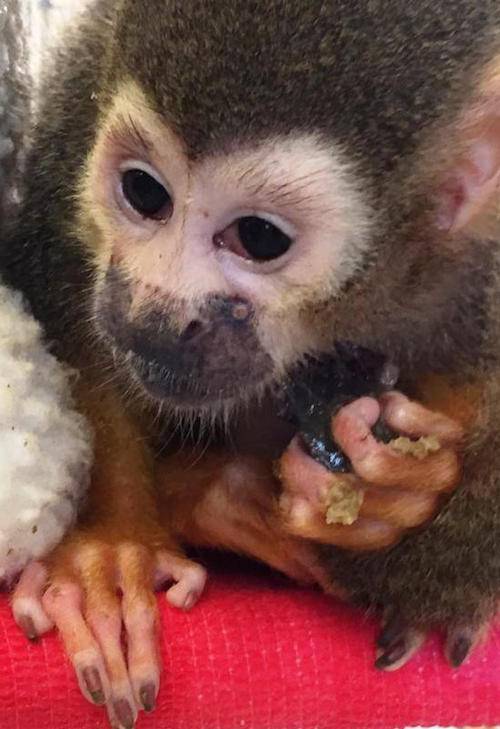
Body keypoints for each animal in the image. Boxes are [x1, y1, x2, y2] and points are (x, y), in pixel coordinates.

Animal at [2, 0, 500, 726]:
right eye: (143, 192)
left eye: (259, 238)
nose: (153, 312)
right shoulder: (88, 68)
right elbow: (68, 288)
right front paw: (111, 547)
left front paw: (391, 492)